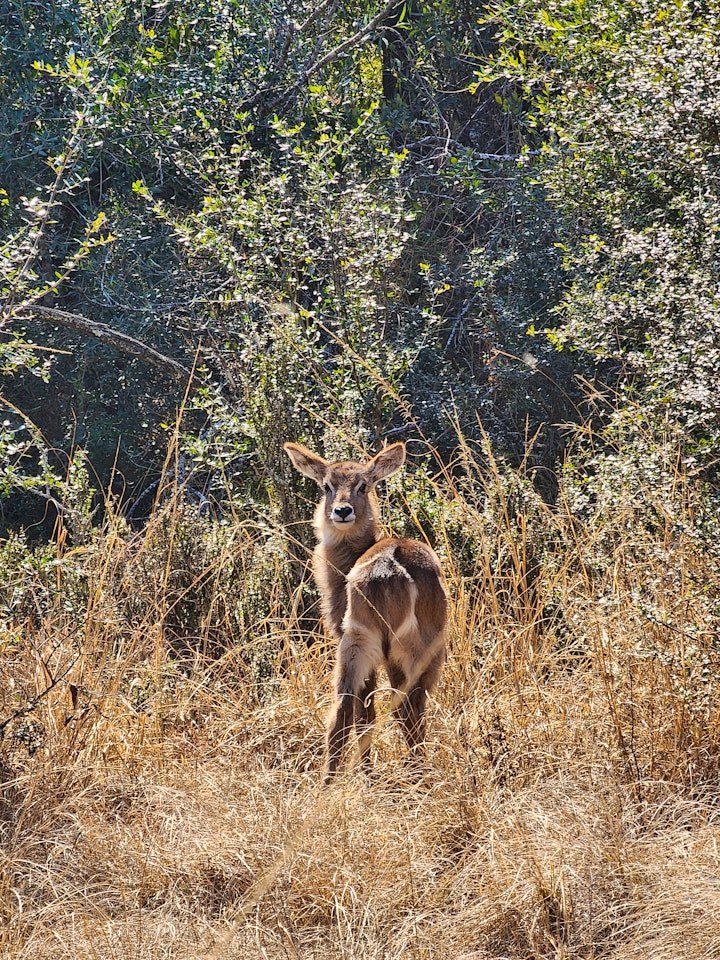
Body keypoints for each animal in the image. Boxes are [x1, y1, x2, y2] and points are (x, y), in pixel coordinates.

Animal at [284, 442, 448, 780]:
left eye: (363, 485)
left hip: (362, 646)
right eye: (327, 485)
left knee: (351, 707)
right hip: (400, 651)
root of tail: (389, 567)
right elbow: (369, 711)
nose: (342, 511)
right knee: (400, 707)